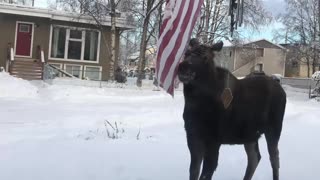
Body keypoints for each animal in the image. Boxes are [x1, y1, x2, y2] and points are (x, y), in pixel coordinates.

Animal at [178, 39, 288, 180]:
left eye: (205, 57)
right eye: (186, 53)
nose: (183, 67)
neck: (196, 103)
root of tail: (282, 90)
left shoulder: (213, 140)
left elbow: (206, 172)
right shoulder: (192, 136)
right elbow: (194, 171)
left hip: (274, 128)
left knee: (274, 158)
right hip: (250, 134)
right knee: (255, 157)